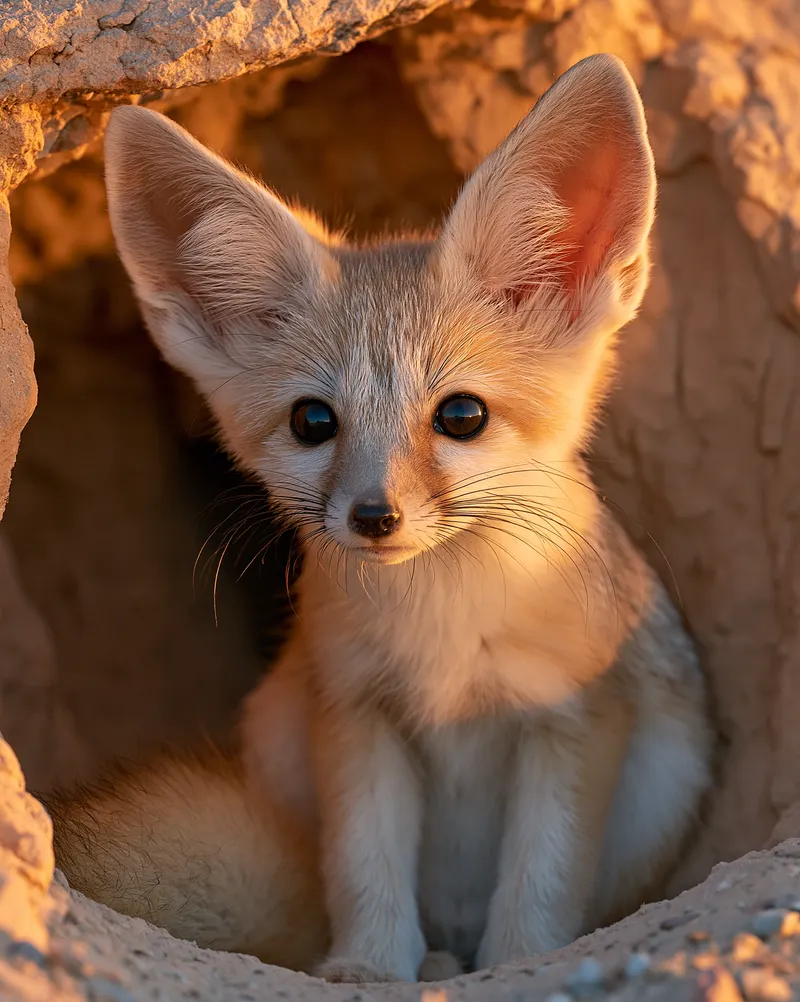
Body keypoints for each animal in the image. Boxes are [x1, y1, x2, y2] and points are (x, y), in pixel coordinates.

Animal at [47, 53, 713, 983]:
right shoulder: (356, 715)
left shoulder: (571, 719)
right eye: (312, 422)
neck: (443, 637)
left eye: (462, 416)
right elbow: (366, 866)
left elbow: (541, 883)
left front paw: (518, 964)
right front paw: (368, 967)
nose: (373, 516)